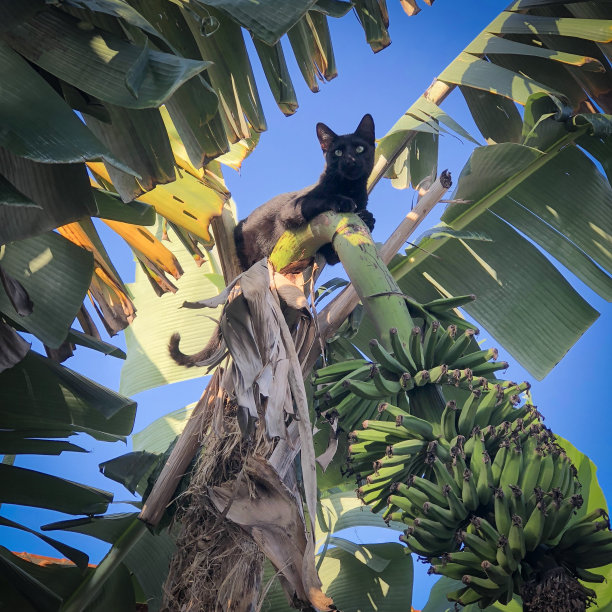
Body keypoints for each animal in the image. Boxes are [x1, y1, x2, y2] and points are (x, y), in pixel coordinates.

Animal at [234, 113, 376, 270]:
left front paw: (367, 217)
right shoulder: (290, 209)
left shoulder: (332, 252)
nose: (350, 161)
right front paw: (342, 201)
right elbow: (318, 200)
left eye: (360, 149)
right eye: (338, 152)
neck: (350, 188)